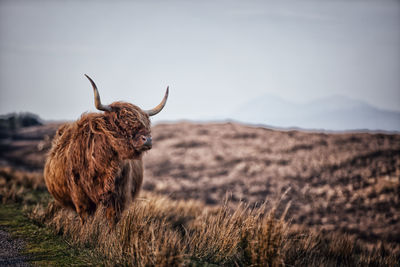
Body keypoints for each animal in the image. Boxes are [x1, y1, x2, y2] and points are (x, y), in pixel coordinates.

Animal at [44, 75, 169, 224]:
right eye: (121, 122)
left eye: (146, 123)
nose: (148, 139)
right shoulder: (81, 199)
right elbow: (86, 220)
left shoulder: (117, 199)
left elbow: (111, 222)